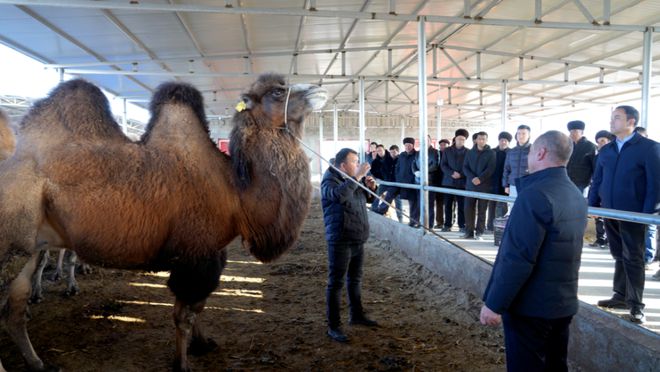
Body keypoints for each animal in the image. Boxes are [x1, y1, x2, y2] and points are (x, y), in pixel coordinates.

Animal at [0, 73, 328, 372]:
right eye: (277, 91)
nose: (320, 89)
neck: (235, 191)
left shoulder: (211, 253)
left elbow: (200, 305)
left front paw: (203, 343)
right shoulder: (195, 254)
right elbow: (184, 316)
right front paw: (181, 364)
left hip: (31, 247)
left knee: (14, 307)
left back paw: (37, 362)